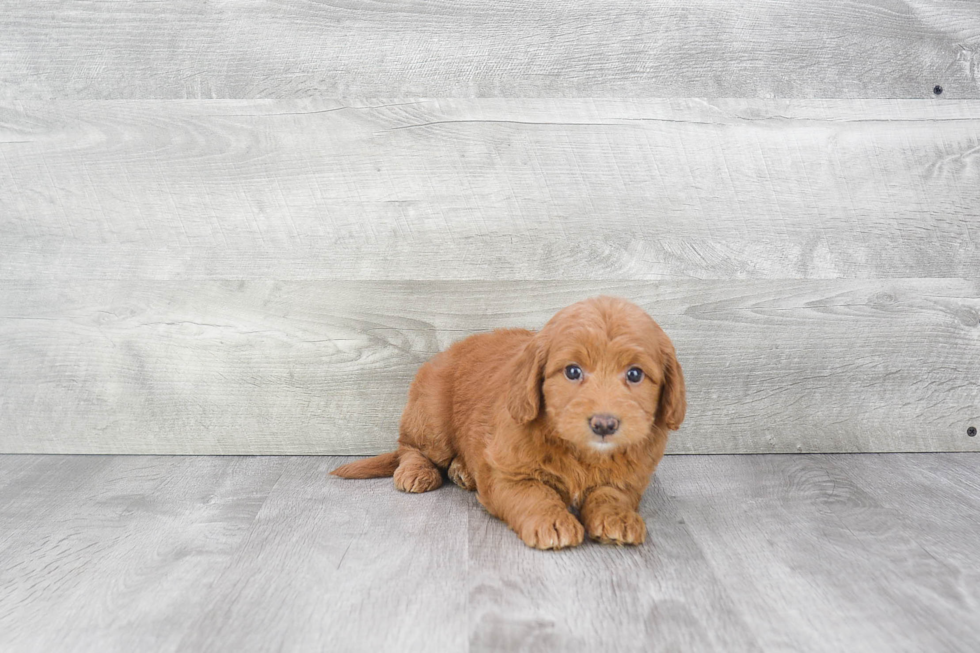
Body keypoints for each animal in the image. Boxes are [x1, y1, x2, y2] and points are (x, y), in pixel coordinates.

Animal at [334, 298, 684, 548]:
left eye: (635, 374)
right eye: (572, 371)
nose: (604, 424)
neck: (580, 451)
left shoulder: (630, 477)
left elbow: (611, 494)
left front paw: (619, 518)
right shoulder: (507, 472)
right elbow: (534, 495)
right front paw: (552, 521)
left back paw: (462, 470)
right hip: (432, 418)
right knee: (409, 446)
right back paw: (417, 471)